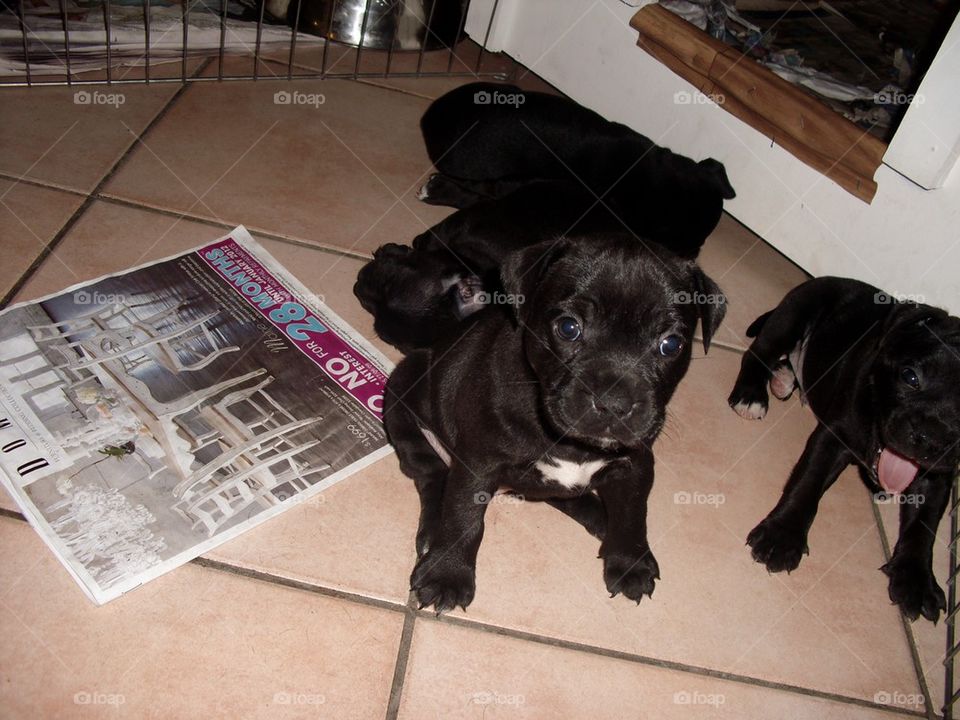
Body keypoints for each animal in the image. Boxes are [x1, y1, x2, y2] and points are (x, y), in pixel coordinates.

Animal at [382, 233, 728, 612]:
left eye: (671, 344)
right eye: (568, 328)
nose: (614, 403)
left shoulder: (635, 463)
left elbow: (633, 514)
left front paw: (630, 562)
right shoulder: (479, 463)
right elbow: (464, 516)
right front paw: (447, 574)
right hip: (405, 391)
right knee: (430, 472)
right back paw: (432, 533)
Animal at [728, 278, 960, 620]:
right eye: (910, 376)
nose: (929, 437)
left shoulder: (937, 476)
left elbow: (924, 525)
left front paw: (916, 580)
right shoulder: (832, 436)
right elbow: (807, 484)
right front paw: (782, 536)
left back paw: (784, 378)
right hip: (793, 314)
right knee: (758, 353)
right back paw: (751, 394)